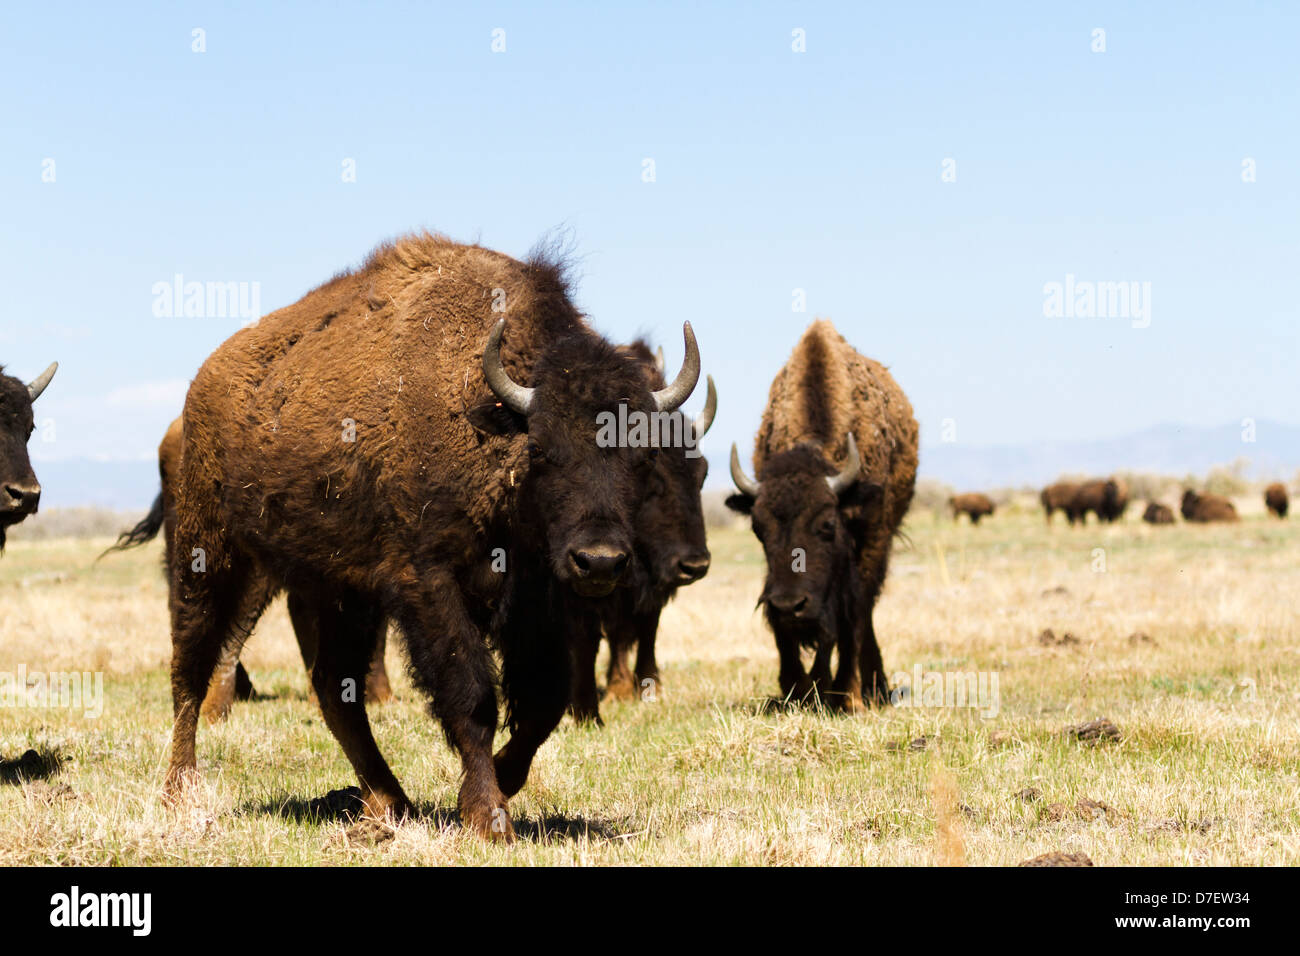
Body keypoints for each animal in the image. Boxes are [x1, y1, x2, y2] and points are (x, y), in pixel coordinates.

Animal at [160, 233, 703, 840]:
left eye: (644, 456)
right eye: (541, 449)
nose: (600, 560)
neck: (492, 419)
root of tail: (200, 389)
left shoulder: (537, 597)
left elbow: (546, 698)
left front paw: (505, 778)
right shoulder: (429, 582)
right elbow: (472, 694)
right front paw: (489, 815)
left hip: (340, 590)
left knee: (333, 687)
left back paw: (389, 800)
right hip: (210, 556)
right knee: (191, 666)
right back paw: (178, 794)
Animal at [726, 320, 918, 710]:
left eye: (828, 524)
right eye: (758, 528)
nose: (789, 606)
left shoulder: (871, 539)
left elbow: (852, 614)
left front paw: (846, 693)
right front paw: (797, 688)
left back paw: (872, 686)